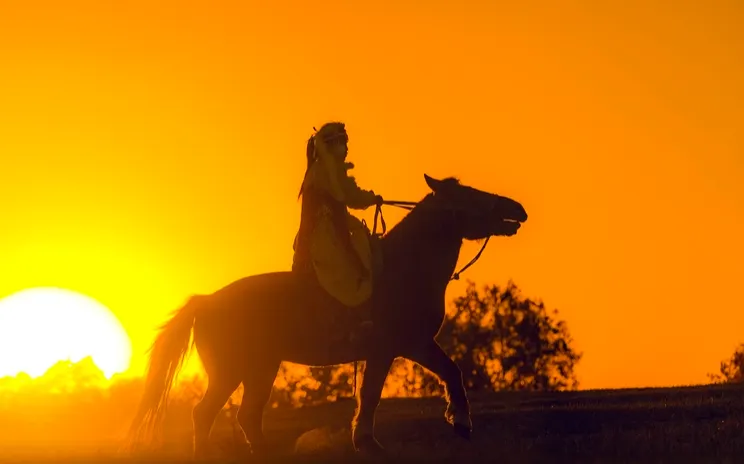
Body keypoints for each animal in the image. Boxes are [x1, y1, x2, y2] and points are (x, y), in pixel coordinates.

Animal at [126, 173, 528, 458]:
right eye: (469, 195)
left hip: (260, 369)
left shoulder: (416, 344)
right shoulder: (393, 348)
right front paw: (368, 442)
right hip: (232, 371)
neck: (403, 269)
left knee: (246, 416)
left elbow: (451, 371)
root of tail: (206, 302)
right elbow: (372, 394)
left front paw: (461, 423)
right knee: (205, 413)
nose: (517, 209)